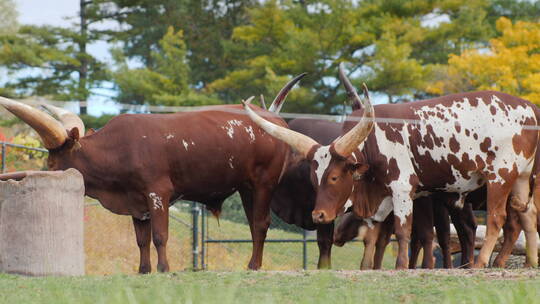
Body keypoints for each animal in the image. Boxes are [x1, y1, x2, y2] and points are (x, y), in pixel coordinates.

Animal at [0, 76, 304, 274]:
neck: (118, 149)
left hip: (263, 183)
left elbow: (159, 235)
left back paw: (254, 266)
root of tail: (275, 120)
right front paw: (144, 269)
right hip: (246, 187)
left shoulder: (158, 193)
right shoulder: (136, 201)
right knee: (254, 223)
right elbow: (141, 239)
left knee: (261, 223)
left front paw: (163, 268)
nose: (46, 173)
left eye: (53, 163)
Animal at [245, 62, 540, 268]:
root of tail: (529, 108)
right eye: (314, 179)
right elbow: (376, 233)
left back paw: (479, 263)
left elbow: (403, 230)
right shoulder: (382, 195)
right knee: (526, 215)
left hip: (500, 176)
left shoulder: (403, 189)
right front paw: (369, 267)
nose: (319, 216)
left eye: (335, 178)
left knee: (497, 218)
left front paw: (401, 266)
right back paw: (527, 262)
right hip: (522, 178)